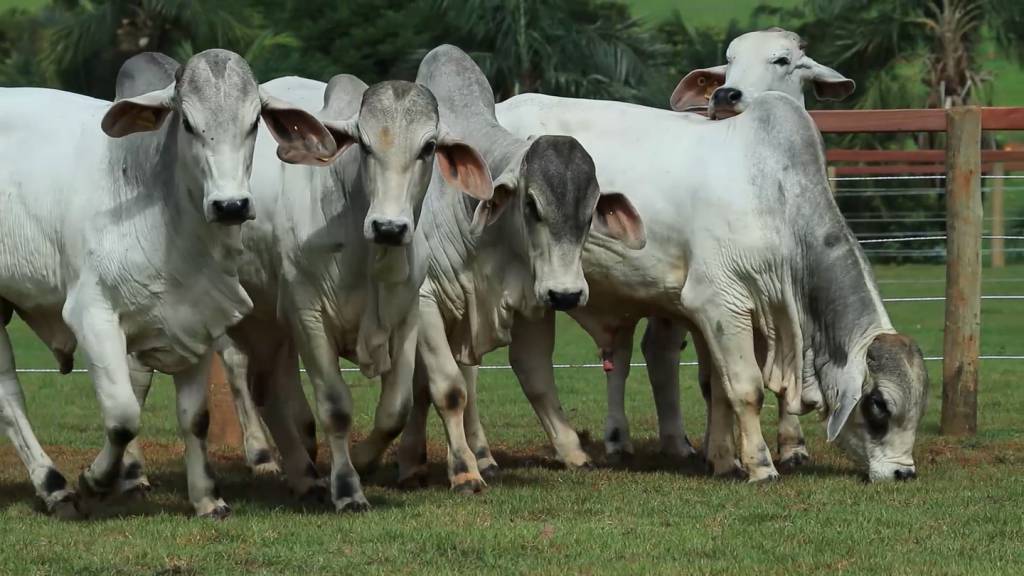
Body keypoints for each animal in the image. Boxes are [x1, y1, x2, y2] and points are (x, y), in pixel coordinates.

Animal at [0, 49, 331, 516]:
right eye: (188, 123)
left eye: (254, 122)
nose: (231, 205)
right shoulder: (92, 313)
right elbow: (122, 416)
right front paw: (95, 480)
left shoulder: (200, 316)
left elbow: (196, 419)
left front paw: (208, 499)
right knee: (11, 397)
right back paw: (55, 485)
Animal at [491, 91, 925, 481]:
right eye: (878, 405)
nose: (903, 473)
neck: (777, 203)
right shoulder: (719, 301)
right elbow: (747, 389)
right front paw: (761, 466)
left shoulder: (739, 315)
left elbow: (719, 388)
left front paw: (723, 459)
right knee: (530, 366)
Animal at [593, 28, 856, 467]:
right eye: (729, 60)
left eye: (783, 60)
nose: (725, 95)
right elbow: (721, 378)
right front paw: (732, 452)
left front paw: (791, 445)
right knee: (630, 354)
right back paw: (619, 439)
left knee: (653, 350)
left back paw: (675, 442)